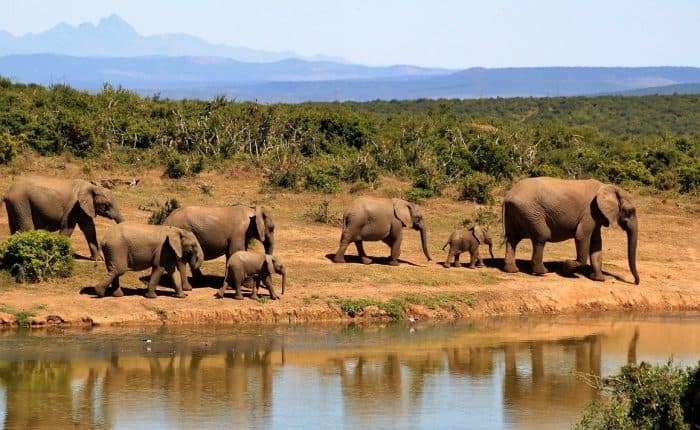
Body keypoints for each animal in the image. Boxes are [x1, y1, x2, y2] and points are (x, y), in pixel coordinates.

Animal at [502, 177, 640, 284]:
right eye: (630, 211)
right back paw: (542, 272)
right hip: (531, 212)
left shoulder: (596, 215)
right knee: (542, 236)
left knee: (512, 239)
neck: (609, 187)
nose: (635, 282)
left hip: (517, 212)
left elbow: (596, 244)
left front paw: (599, 279)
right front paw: (566, 267)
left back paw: (512, 270)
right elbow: (581, 236)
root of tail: (508, 195)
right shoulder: (589, 212)